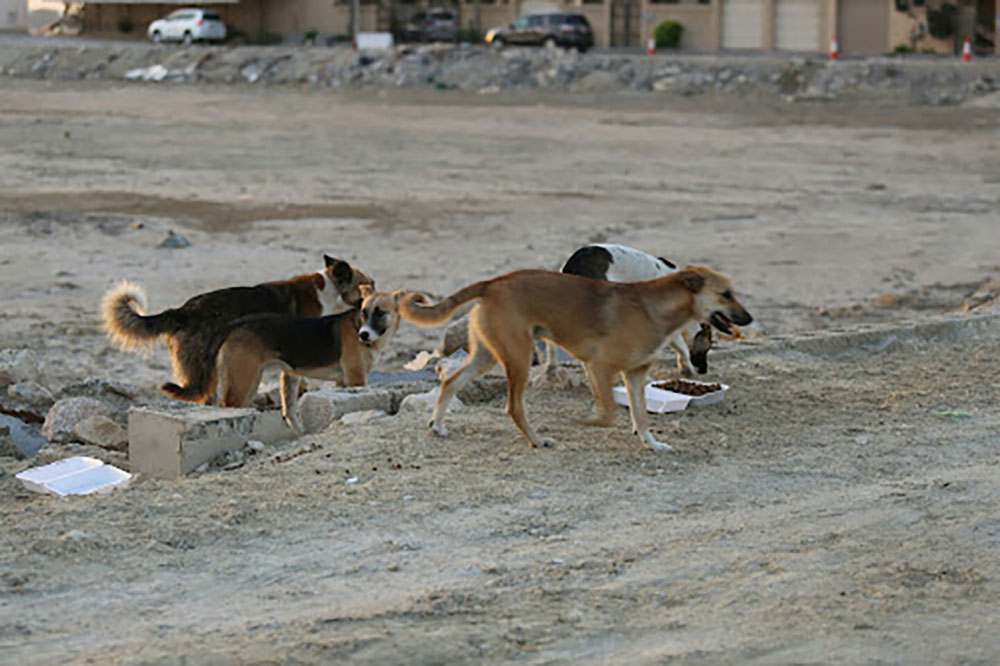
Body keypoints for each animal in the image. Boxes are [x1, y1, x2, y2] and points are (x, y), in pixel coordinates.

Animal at [217, 284, 404, 430]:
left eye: (380, 313)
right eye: (364, 312)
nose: (363, 335)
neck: (356, 325)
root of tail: (235, 327)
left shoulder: (343, 381)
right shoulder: (355, 379)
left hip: (252, 383)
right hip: (241, 384)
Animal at [398, 264, 752, 452]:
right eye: (725, 294)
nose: (748, 319)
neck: (656, 307)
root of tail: (492, 283)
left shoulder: (635, 374)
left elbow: (640, 415)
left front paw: (651, 443)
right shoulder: (601, 367)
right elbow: (608, 412)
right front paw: (588, 421)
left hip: (487, 356)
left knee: (449, 381)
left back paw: (437, 425)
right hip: (519, 357)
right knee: (513, 407)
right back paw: (537, 440)